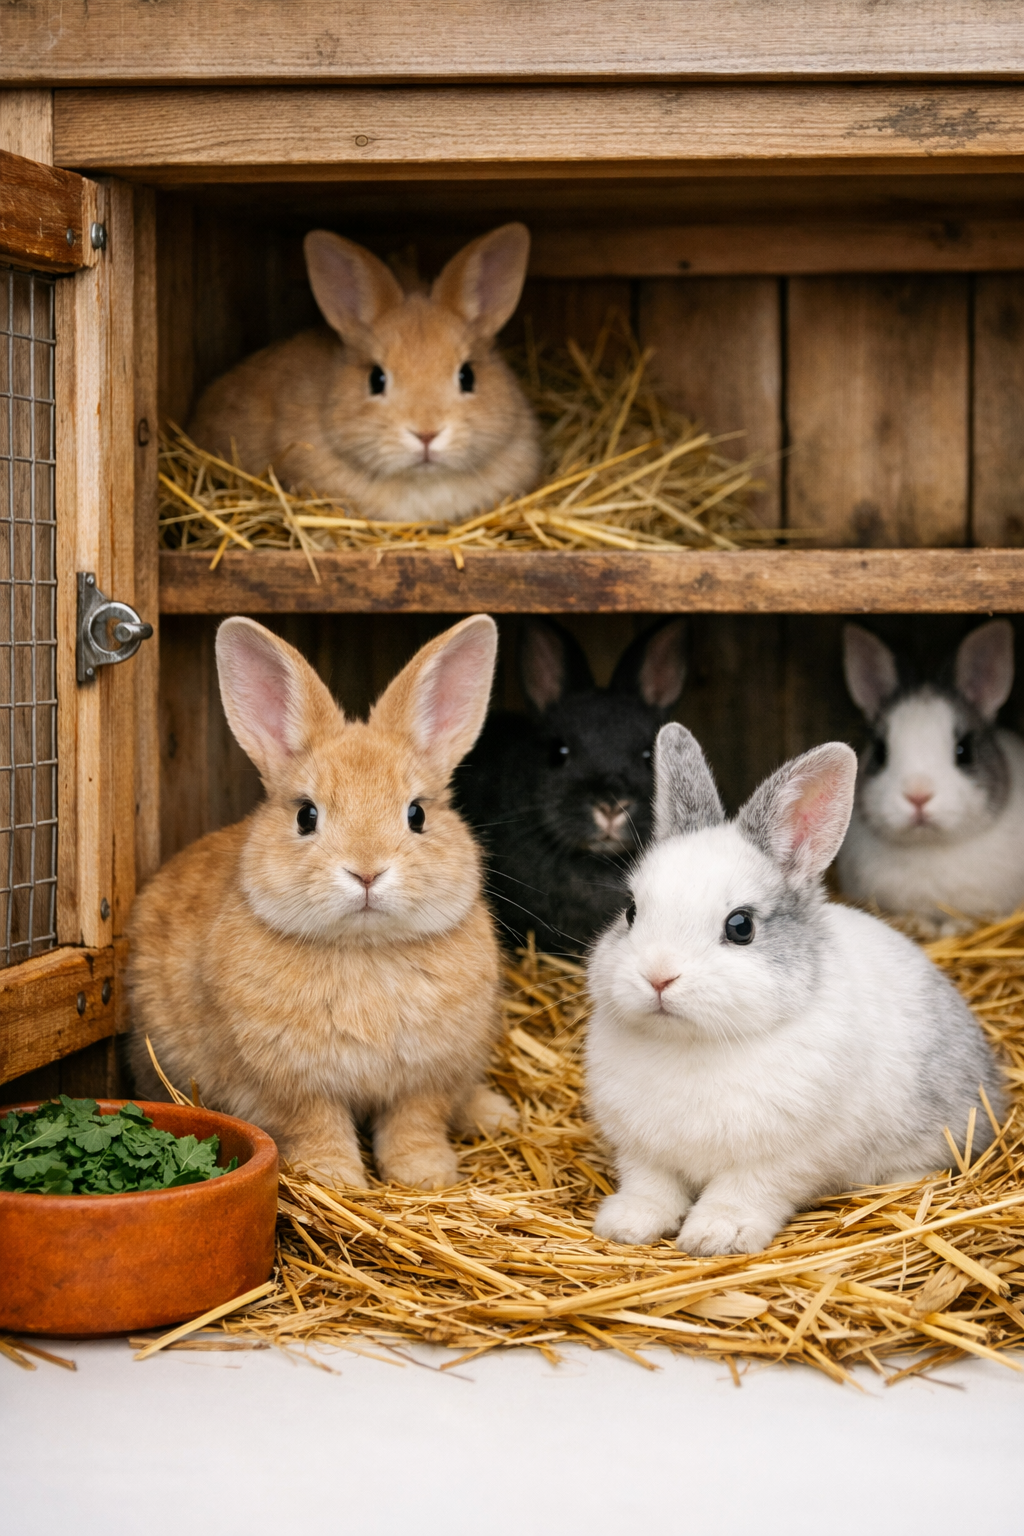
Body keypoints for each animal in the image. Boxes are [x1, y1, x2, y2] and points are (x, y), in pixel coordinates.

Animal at [129, 614, 517, 1191]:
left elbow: (415, 1126)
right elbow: (318, 1129)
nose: (367, 870)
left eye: (418, 814)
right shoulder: (290, 1087)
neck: (363, 948)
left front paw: (426, 1177)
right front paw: (336, 1180)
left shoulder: (426, 1079)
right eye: (305, 815)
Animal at [586, 723, 1004, 1255]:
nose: (658, 975)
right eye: (631, 910)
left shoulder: (780, 1161)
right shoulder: (643, 1151)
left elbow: (744, 1191)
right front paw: (626, 1224)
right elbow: (651, 1186)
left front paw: (716, 1236)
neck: (691, 1044)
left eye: (741, 926)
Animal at [836, 620, 1024, 932]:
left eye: (964, 751)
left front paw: (955, 929)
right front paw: (921, 927)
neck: (930, 846)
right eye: (880, 752)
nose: (918, 795)